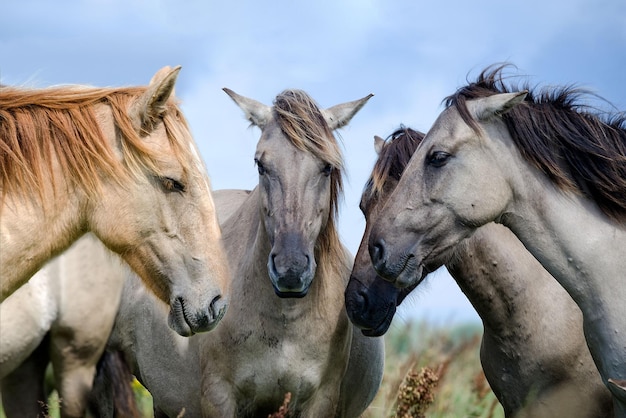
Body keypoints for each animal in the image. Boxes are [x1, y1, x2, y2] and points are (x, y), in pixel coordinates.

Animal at [95, 86, 382, 416]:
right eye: (260, 164)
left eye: (327, 166)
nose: (291, 271)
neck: (285, 323)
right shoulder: (219, 396)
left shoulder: (320, 401)